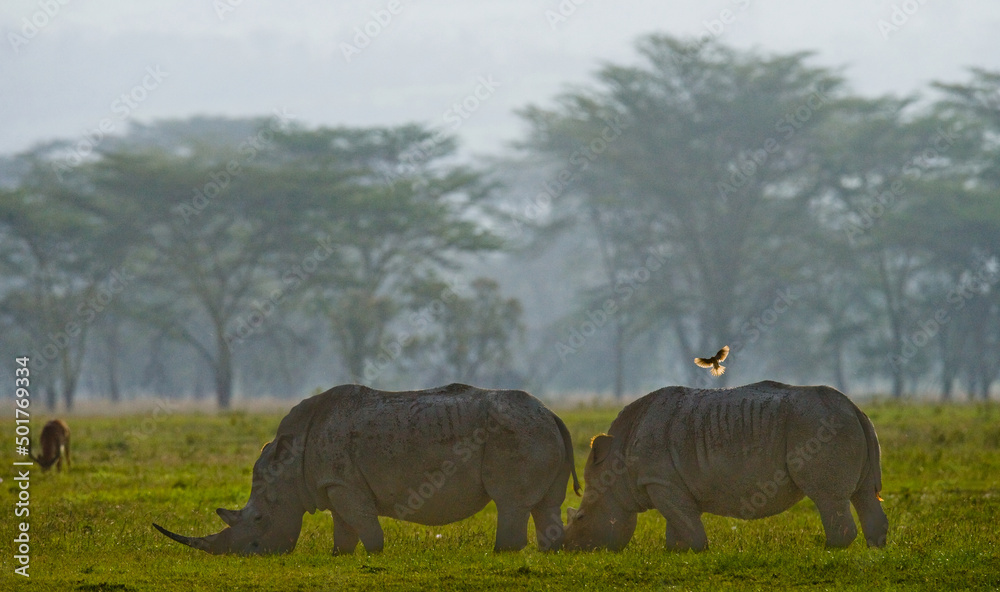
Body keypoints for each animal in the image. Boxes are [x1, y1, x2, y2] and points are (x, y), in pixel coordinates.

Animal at [153, 383, 579, 555]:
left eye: (258, 520)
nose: (246, 555)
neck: (287, 468)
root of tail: (553, 413)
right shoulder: (333, 485)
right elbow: (345, 529)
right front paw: (339, 556)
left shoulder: (344, 484)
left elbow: (366, 528)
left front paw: (374, 555)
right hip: (537, 430)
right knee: (545, 505)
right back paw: (548, 551)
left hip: (517, 432)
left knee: (510, 502)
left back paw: (502, 552)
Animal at [563, 381, 887, 551]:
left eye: (580, 518)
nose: (567, 548)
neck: (617, 467)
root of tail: (854, 407)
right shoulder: (667, 484)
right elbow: (676, 522)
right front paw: (676, 552)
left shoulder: (659, 481)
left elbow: (685, 522)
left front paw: (698, 551)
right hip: (843, 422)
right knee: (863, 494)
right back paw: (875, 548)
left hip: (819, 424)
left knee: (828, 497)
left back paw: (829, 551)